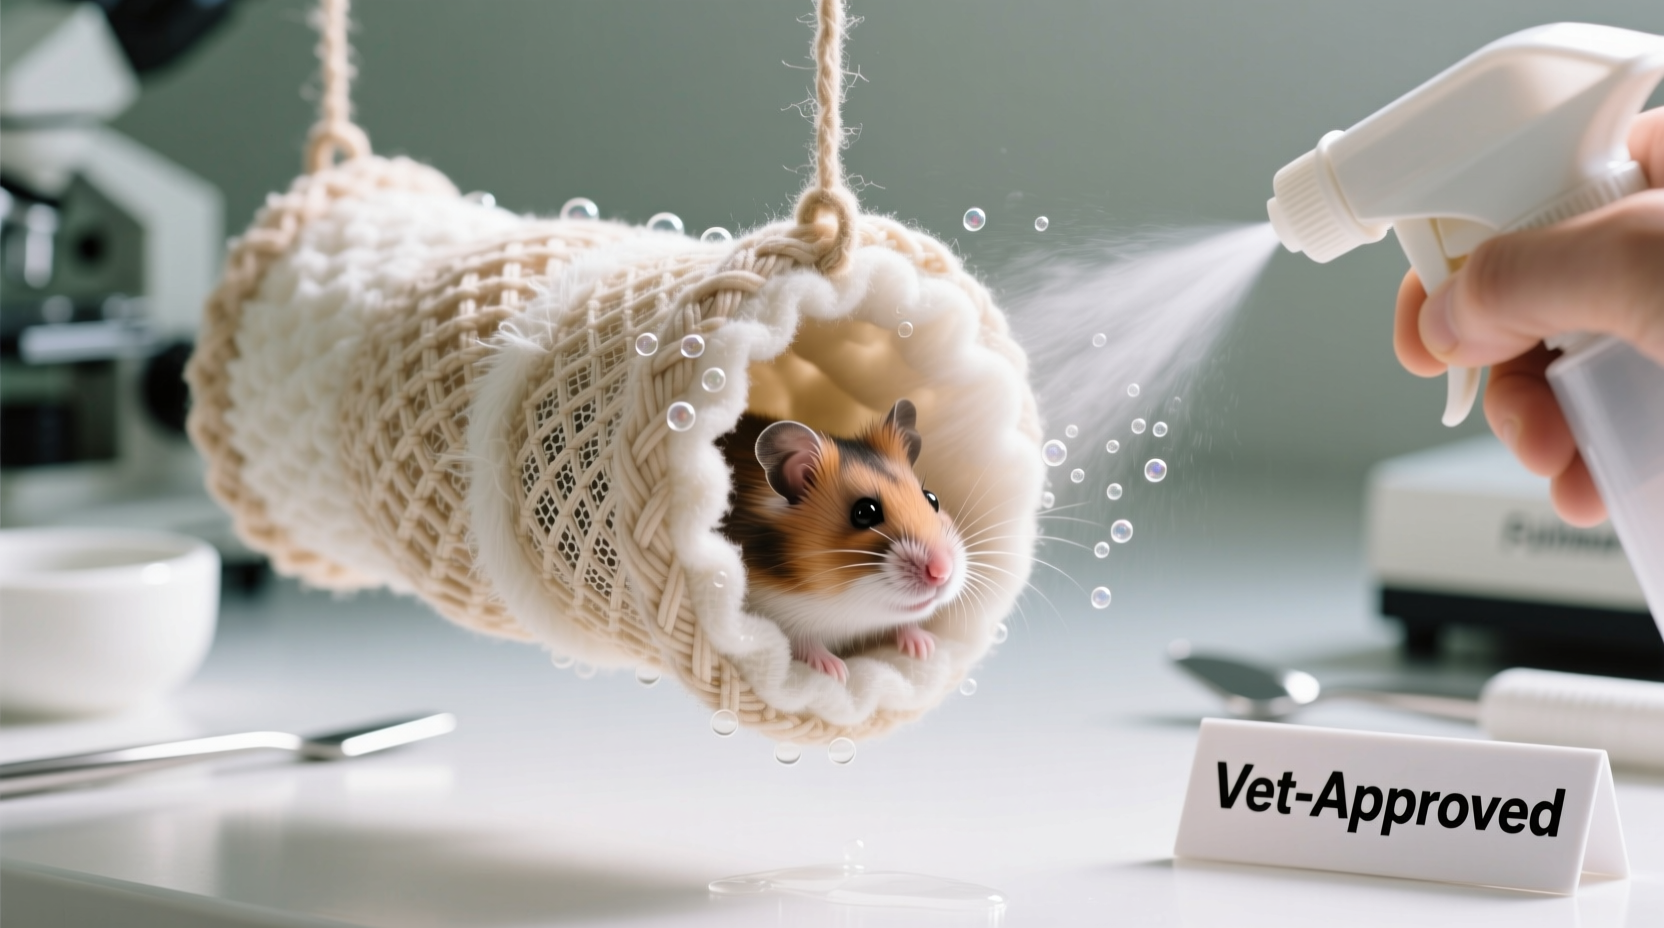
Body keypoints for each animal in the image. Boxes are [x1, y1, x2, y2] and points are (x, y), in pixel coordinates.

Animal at [717, 399, 967, 683]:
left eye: (932, 498)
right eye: (864, 512)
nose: (942, 572)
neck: (841, 602)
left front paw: (925, 647)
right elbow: (802, 641)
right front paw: (837, 672)